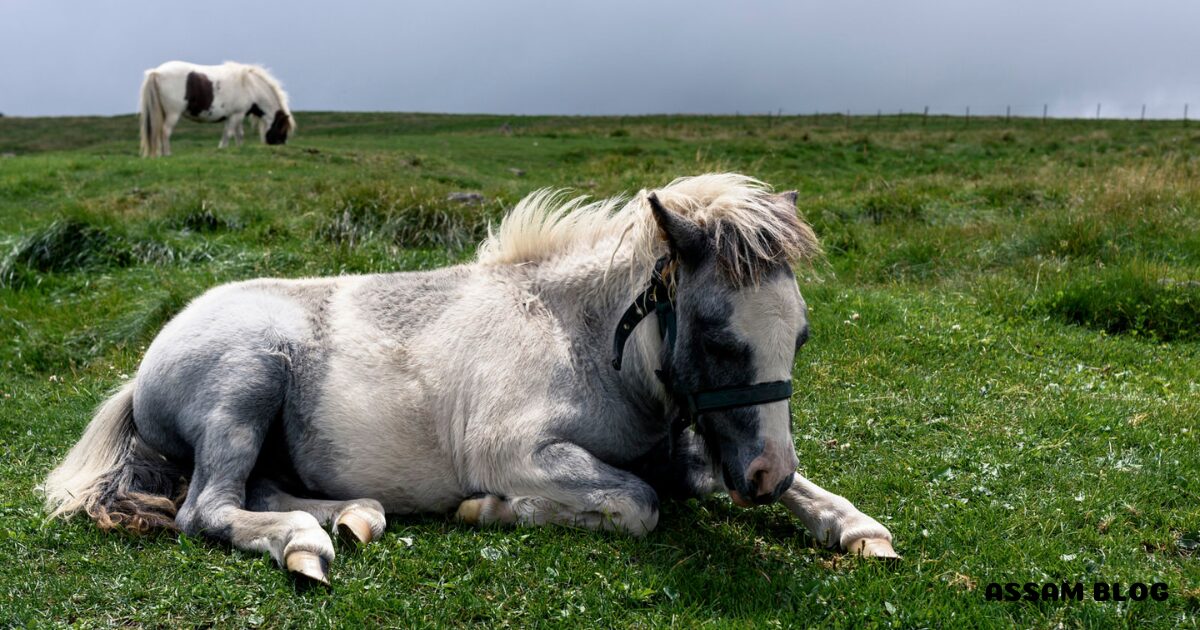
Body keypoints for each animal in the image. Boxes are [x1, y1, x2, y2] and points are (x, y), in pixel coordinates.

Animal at [42, 172, 897, 585]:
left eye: (800, 336)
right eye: (719, 338)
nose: (762, 475)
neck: (585, 342)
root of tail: (145, 366)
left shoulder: (704, 449)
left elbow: (805, 492)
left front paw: (859, 530)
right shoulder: (520, 452)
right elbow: (638, 504)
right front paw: (491, 509)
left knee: (258, 491)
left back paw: (352, 516)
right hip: (246, 384)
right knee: (208, 508)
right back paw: (303, 544)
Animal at [136, 60, 292, 157]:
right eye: (283, 128)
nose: (281, 144)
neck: (250, 86)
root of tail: (156, 72)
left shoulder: (235, 115)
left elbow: (238, 134)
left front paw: (239, 148)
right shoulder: (236, 115)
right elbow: (229, 134)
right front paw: (222, 149)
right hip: (173, 114)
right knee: (165, 131)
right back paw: (167, 154)